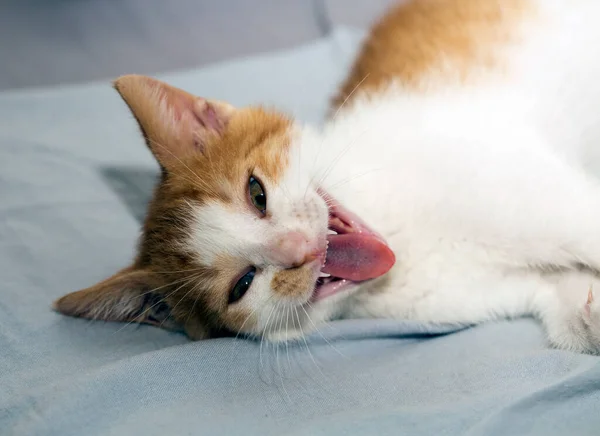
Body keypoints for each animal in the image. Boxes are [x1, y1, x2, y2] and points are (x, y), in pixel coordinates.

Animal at [54, 0, 600, 352]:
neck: (407, 243)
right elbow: (560, 299)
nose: (298, 248)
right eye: (242, 285)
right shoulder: (470, 291)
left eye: (256, 193)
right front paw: (585, 308)